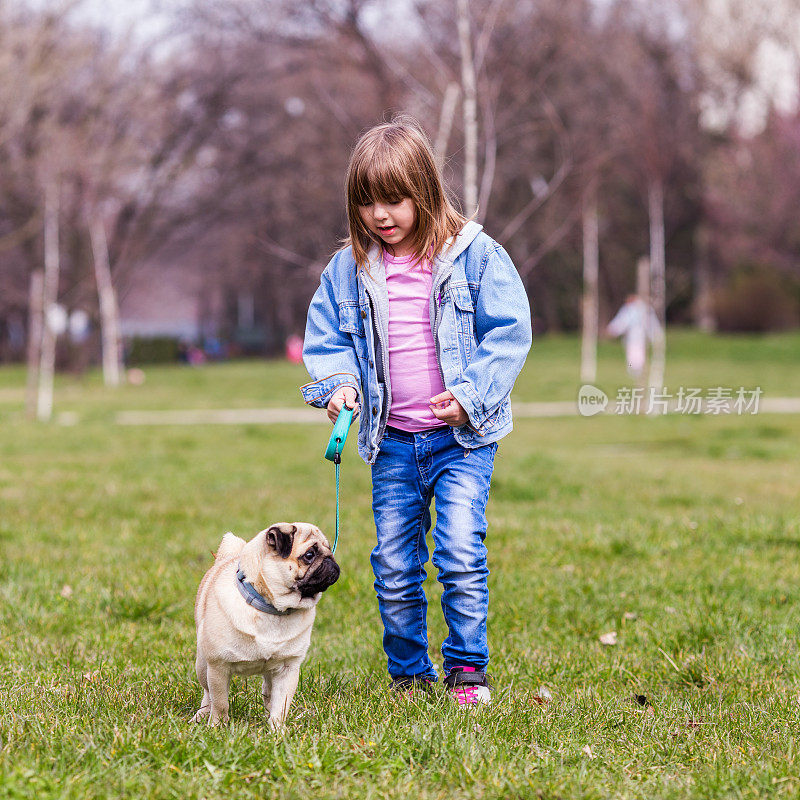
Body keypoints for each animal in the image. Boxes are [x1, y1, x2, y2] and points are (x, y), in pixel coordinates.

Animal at [192, 520, 340, 728]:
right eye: (309, 555)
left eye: (329, 549)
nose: (330, 560)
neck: (273, 609)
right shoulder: (218, 666)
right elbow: (220, 702)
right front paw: (217, 726)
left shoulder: (288, 669)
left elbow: (281, 704)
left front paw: (277, 729)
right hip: (203, 664)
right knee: (208, 693)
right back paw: (201, 715)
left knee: (268, 693)